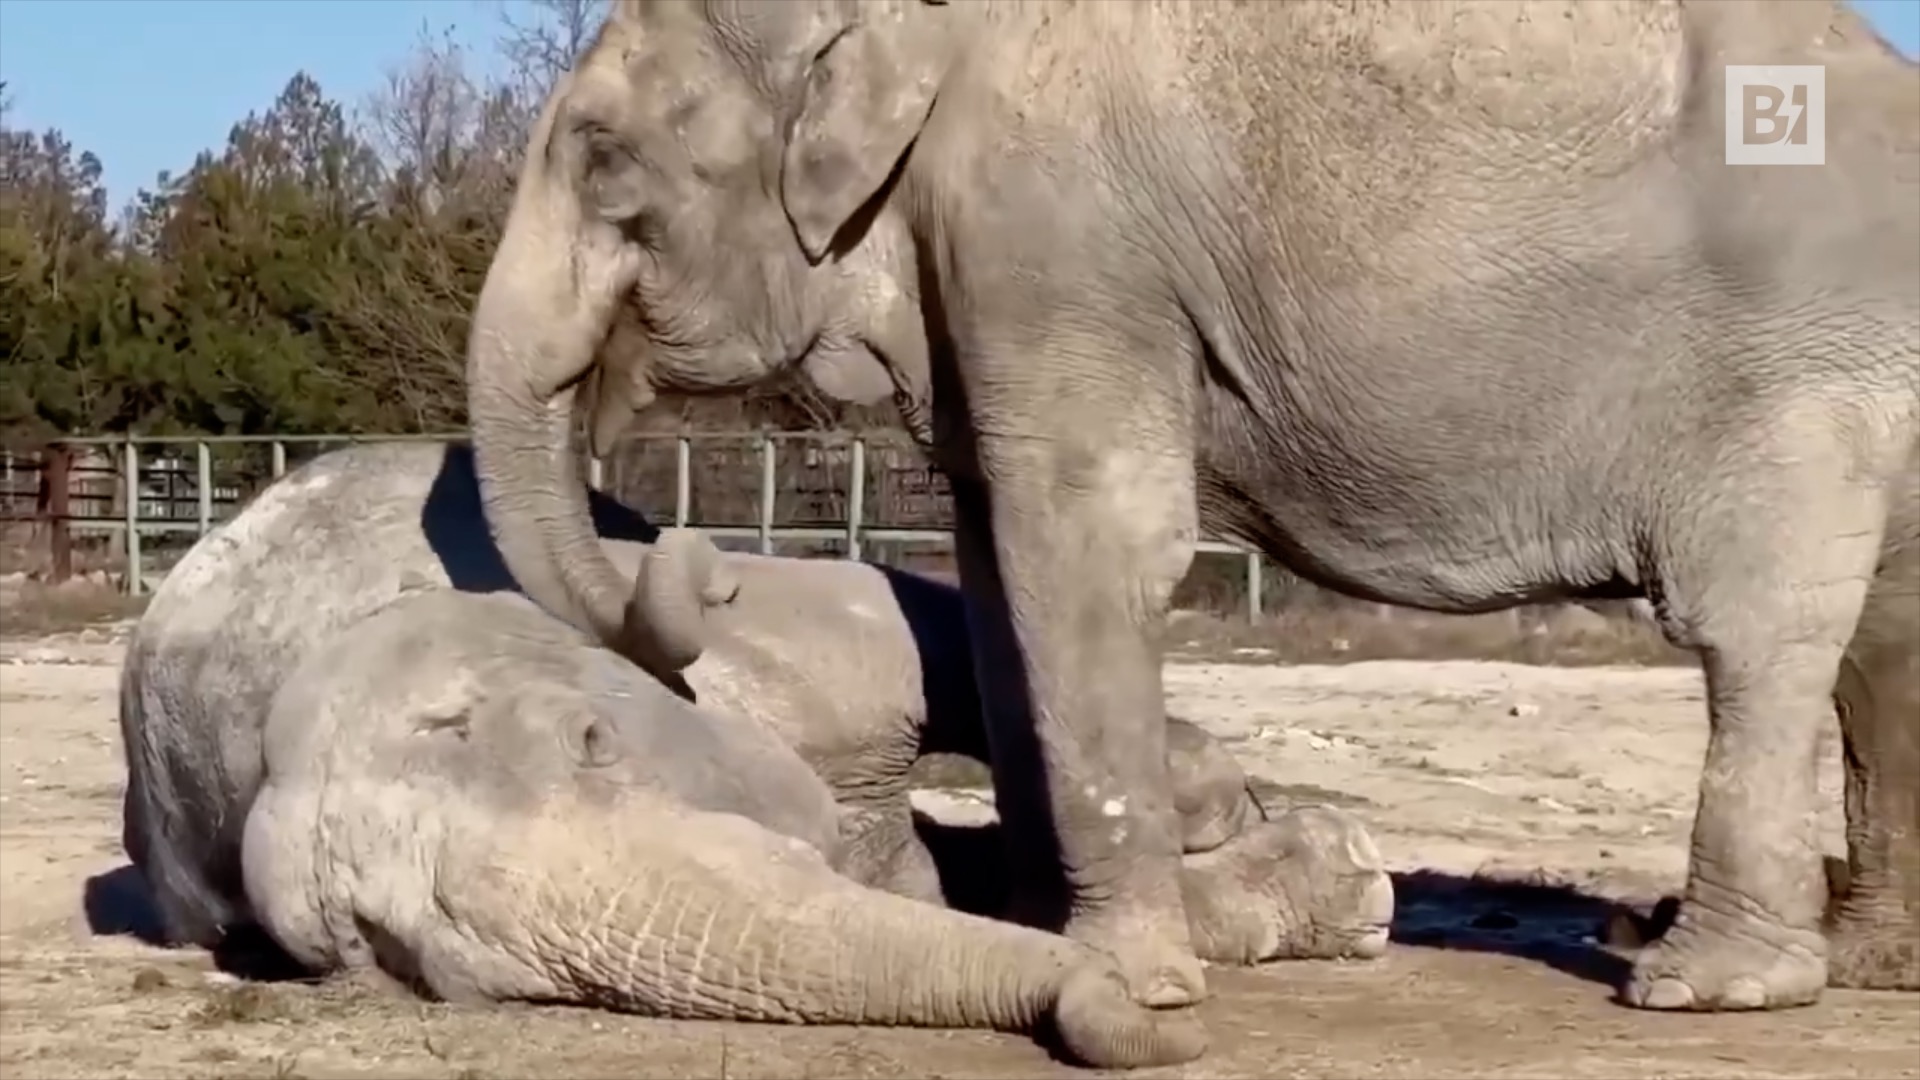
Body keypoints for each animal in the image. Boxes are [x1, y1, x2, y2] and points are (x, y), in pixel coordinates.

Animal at [119, 439, 1393, 969]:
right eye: (373, 944)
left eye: (594, 742)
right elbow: (946, 896)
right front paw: (1339, 883)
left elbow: (932, 643)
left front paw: (1234, 812)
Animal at [460, 0, 1920, 1018]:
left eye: (603, 160)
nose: (703, 561)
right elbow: (1000, 560)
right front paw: (1052, 939)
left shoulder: (1054, 238)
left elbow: (1083, 541)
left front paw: (1129, 982)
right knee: (1886, 645)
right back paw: (1863, 968)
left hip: (1799, 370)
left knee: (1758, 633)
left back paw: (1703, 985)